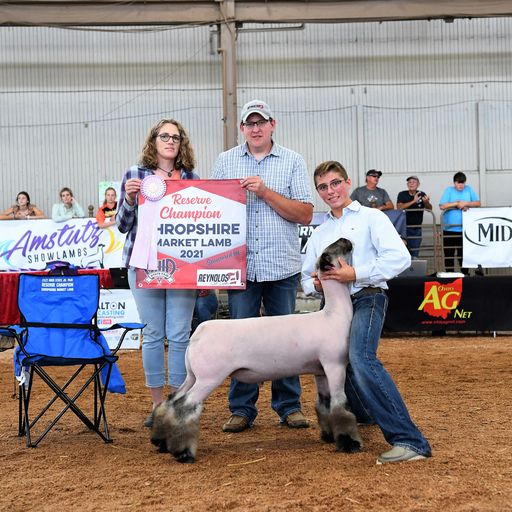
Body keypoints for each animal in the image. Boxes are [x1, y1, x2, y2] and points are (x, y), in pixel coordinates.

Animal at [150, 237, 362, 463]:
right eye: (333, 250)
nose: (346, 240)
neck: (333, 315)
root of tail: (199, 331)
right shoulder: (335, 365)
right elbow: (340, 405)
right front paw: (350, 443)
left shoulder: (320, 371)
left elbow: (325, 403)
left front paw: (329, 436)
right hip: (209, 377)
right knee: (186, 406)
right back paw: (183, 453)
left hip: (193, 375)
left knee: (172, 402)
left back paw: (161, 442)